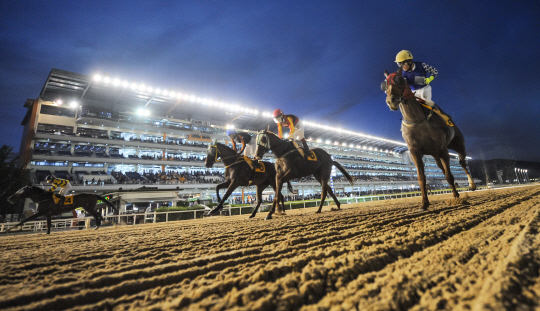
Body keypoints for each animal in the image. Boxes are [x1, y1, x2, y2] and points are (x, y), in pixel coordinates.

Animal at [382, 66, 474, 211]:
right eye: (384, 85)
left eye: (400, 79)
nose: (391, 100)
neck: (417, 120)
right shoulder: (415, 152)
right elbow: (421, 178)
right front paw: (424, 203)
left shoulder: (443, 150)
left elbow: (449, 175)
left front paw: (456, 196)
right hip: (435, 155)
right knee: (443, 168)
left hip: (458, 144)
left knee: (462, 162)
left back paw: (471, 185)